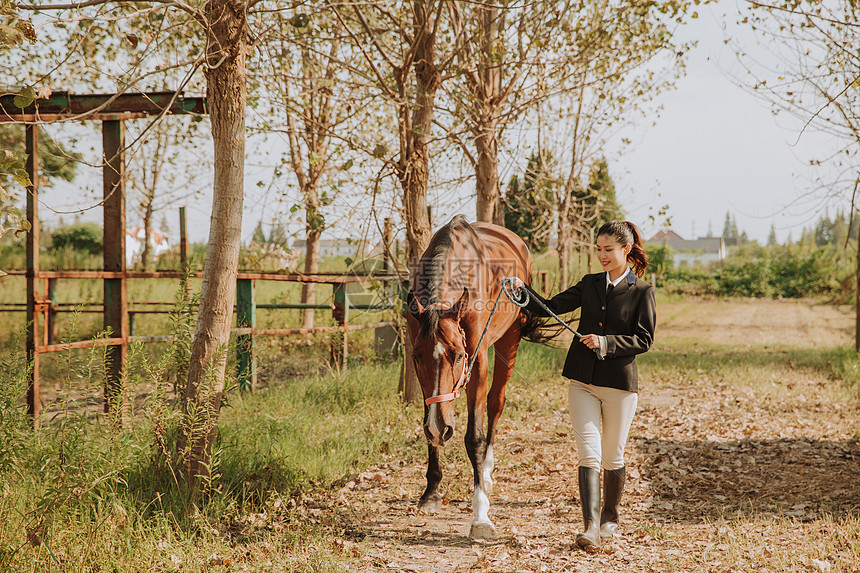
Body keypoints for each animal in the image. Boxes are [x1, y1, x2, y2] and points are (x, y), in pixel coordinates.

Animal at [404, 216, 540, 540]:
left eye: (458, 356)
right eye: (416, 358)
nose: (441, 427)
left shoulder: (477, 362)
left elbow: (474, 437)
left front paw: (480, 514)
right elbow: (427, 422)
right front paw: (431, 491)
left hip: (509, 341)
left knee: (495, 403)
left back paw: (487, 471)